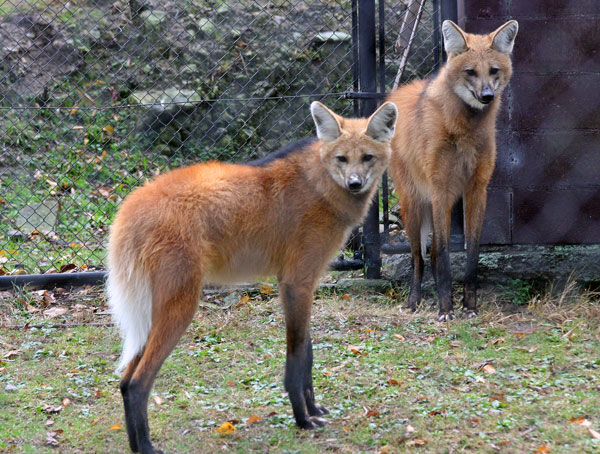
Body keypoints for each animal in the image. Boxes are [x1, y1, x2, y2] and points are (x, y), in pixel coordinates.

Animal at [108, 101, 398, 452]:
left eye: (367, 157)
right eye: (341, 158)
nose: (355, 183)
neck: (320, 184)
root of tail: (132, 204)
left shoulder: (300, 284)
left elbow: (307, 354)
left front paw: (314, 410)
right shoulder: (296, 282)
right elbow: (297, 357)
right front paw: (303, 420)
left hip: (156, 310)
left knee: (125, 381)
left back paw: (136, 444)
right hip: (181, 306)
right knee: (138, 382)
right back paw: (148, 447)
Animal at [386, 20, 516, 320]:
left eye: (494, 70)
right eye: (470, 72)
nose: (487, 96)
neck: (465, 130)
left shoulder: (476, 190)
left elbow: (471, 254)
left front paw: (469, 306)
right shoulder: (440, 189)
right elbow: (443, 255)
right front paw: (446, 310)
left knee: (431, 254)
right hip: (414, 202)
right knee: (418, 257)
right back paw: (414, 301)